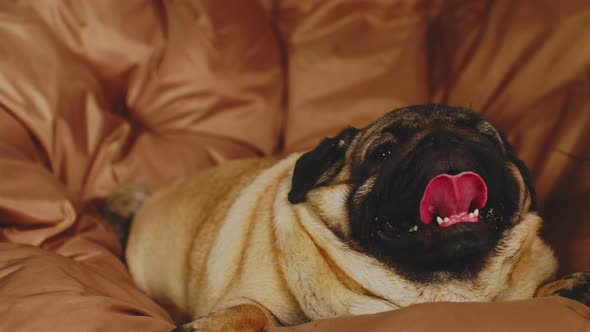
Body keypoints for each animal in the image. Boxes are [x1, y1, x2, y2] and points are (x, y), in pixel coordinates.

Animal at [102, 104, 590, 332]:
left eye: (490, 142)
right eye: (384, 153)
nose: (446, 138)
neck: (435, 287)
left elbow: (536, 294)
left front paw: (570, 286)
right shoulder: (249, 298)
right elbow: (251, 310)